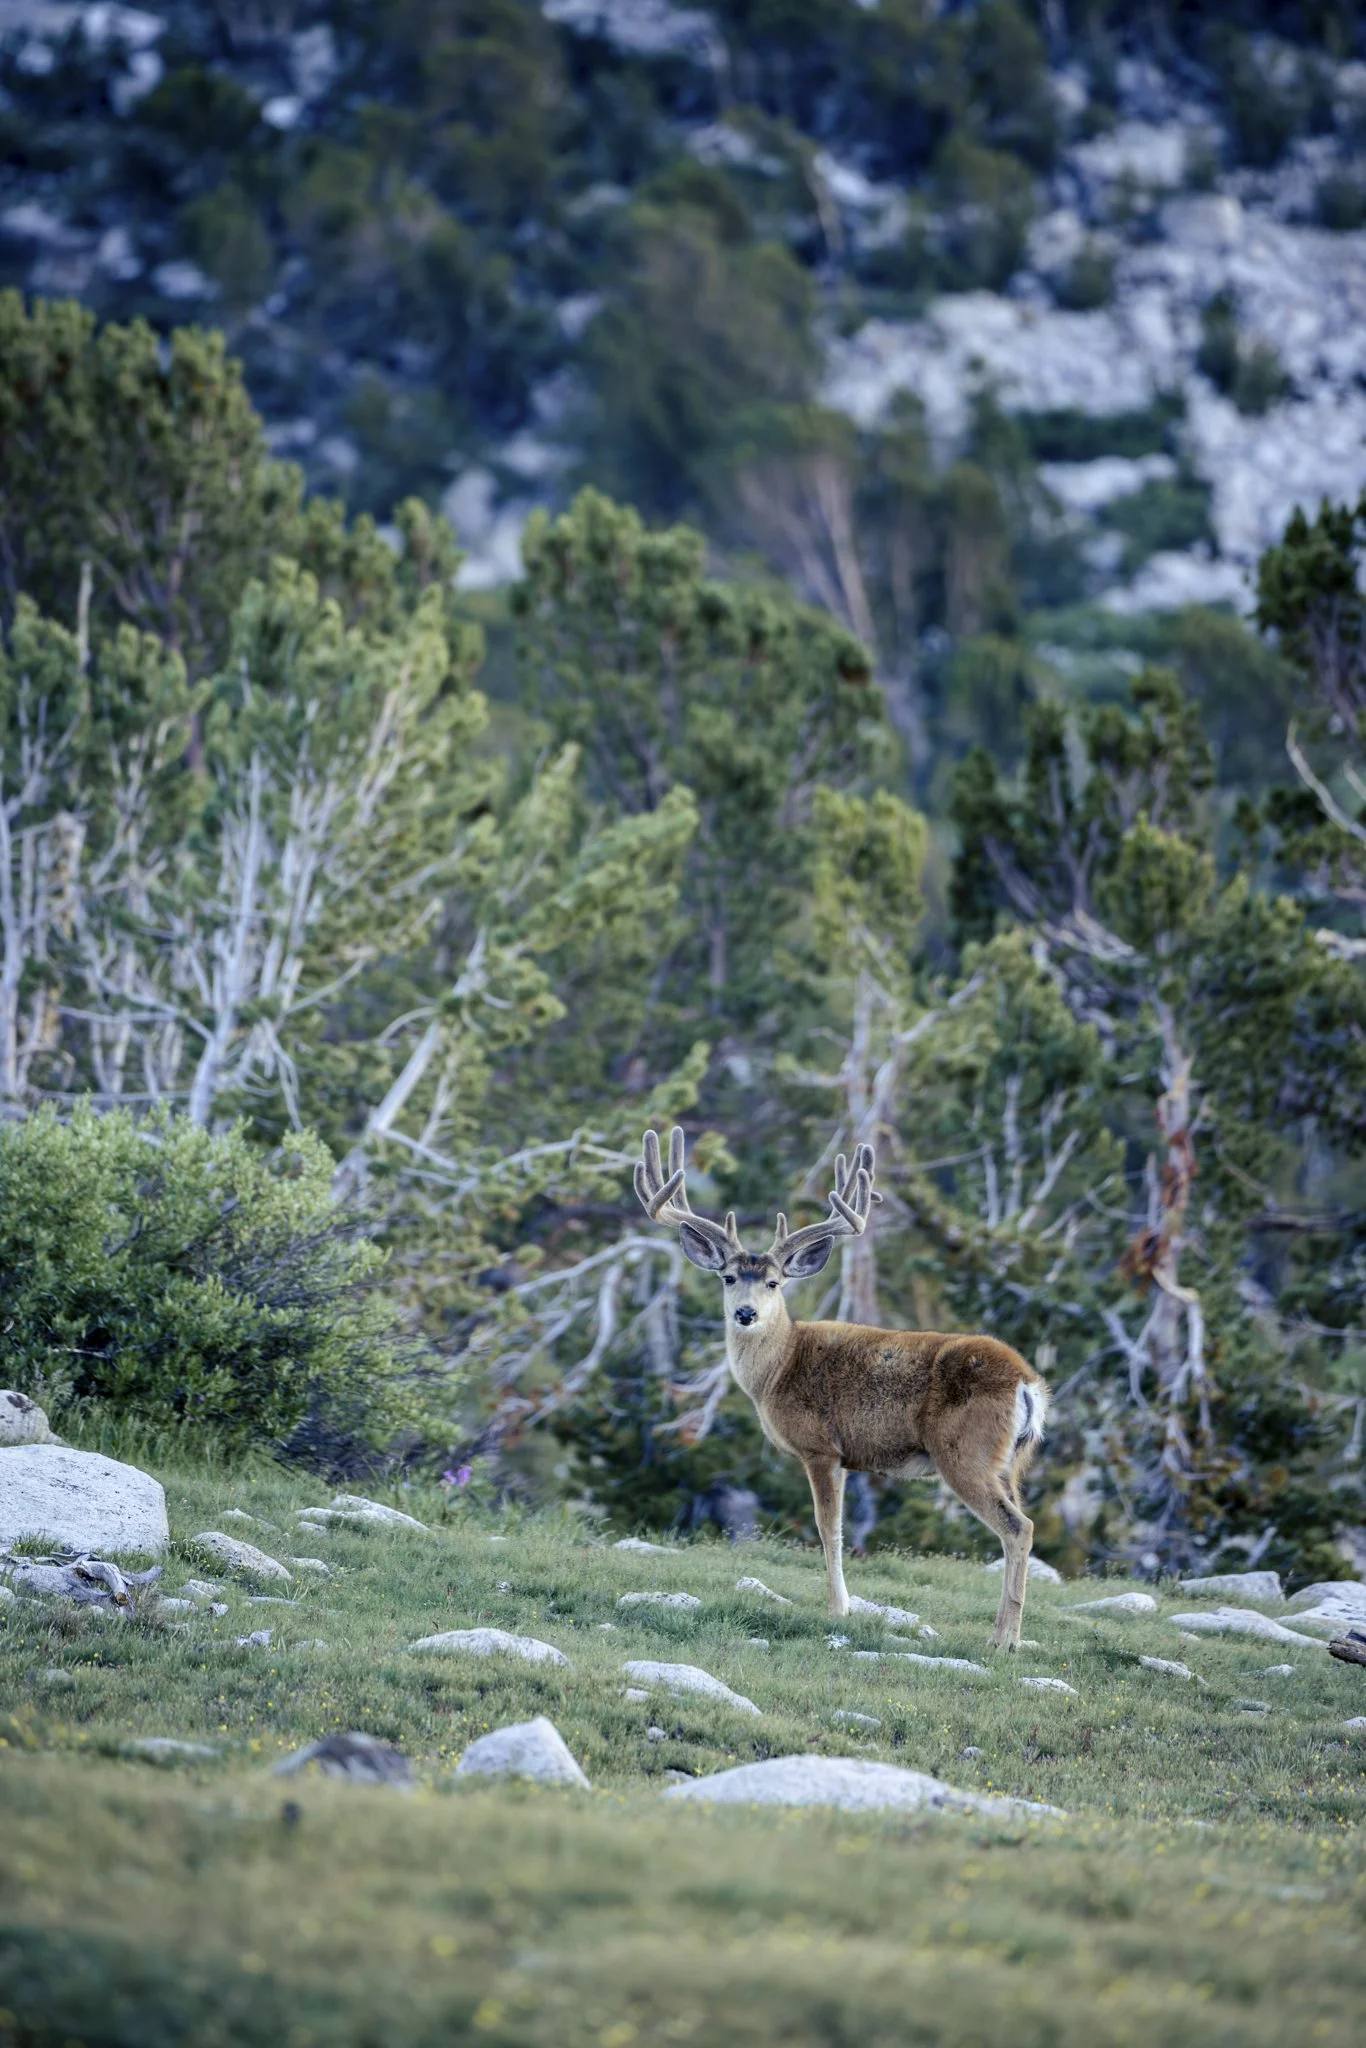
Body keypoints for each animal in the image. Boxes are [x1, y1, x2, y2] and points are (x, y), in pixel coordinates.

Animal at [635, 1127, 1050, 1650]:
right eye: (728, 1277)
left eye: (774, 1283)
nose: (745, 1313)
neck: (779, 1369)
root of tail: (1026, 1382)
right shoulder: (849, 1457)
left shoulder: (820, 1446)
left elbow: (827, 1527)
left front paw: (838, 1609)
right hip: (1012, 1461)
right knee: (1023, 1522)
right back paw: (1011, 1634)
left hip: (965, 1452)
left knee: (1019, 1527)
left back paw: (1003, 1640)